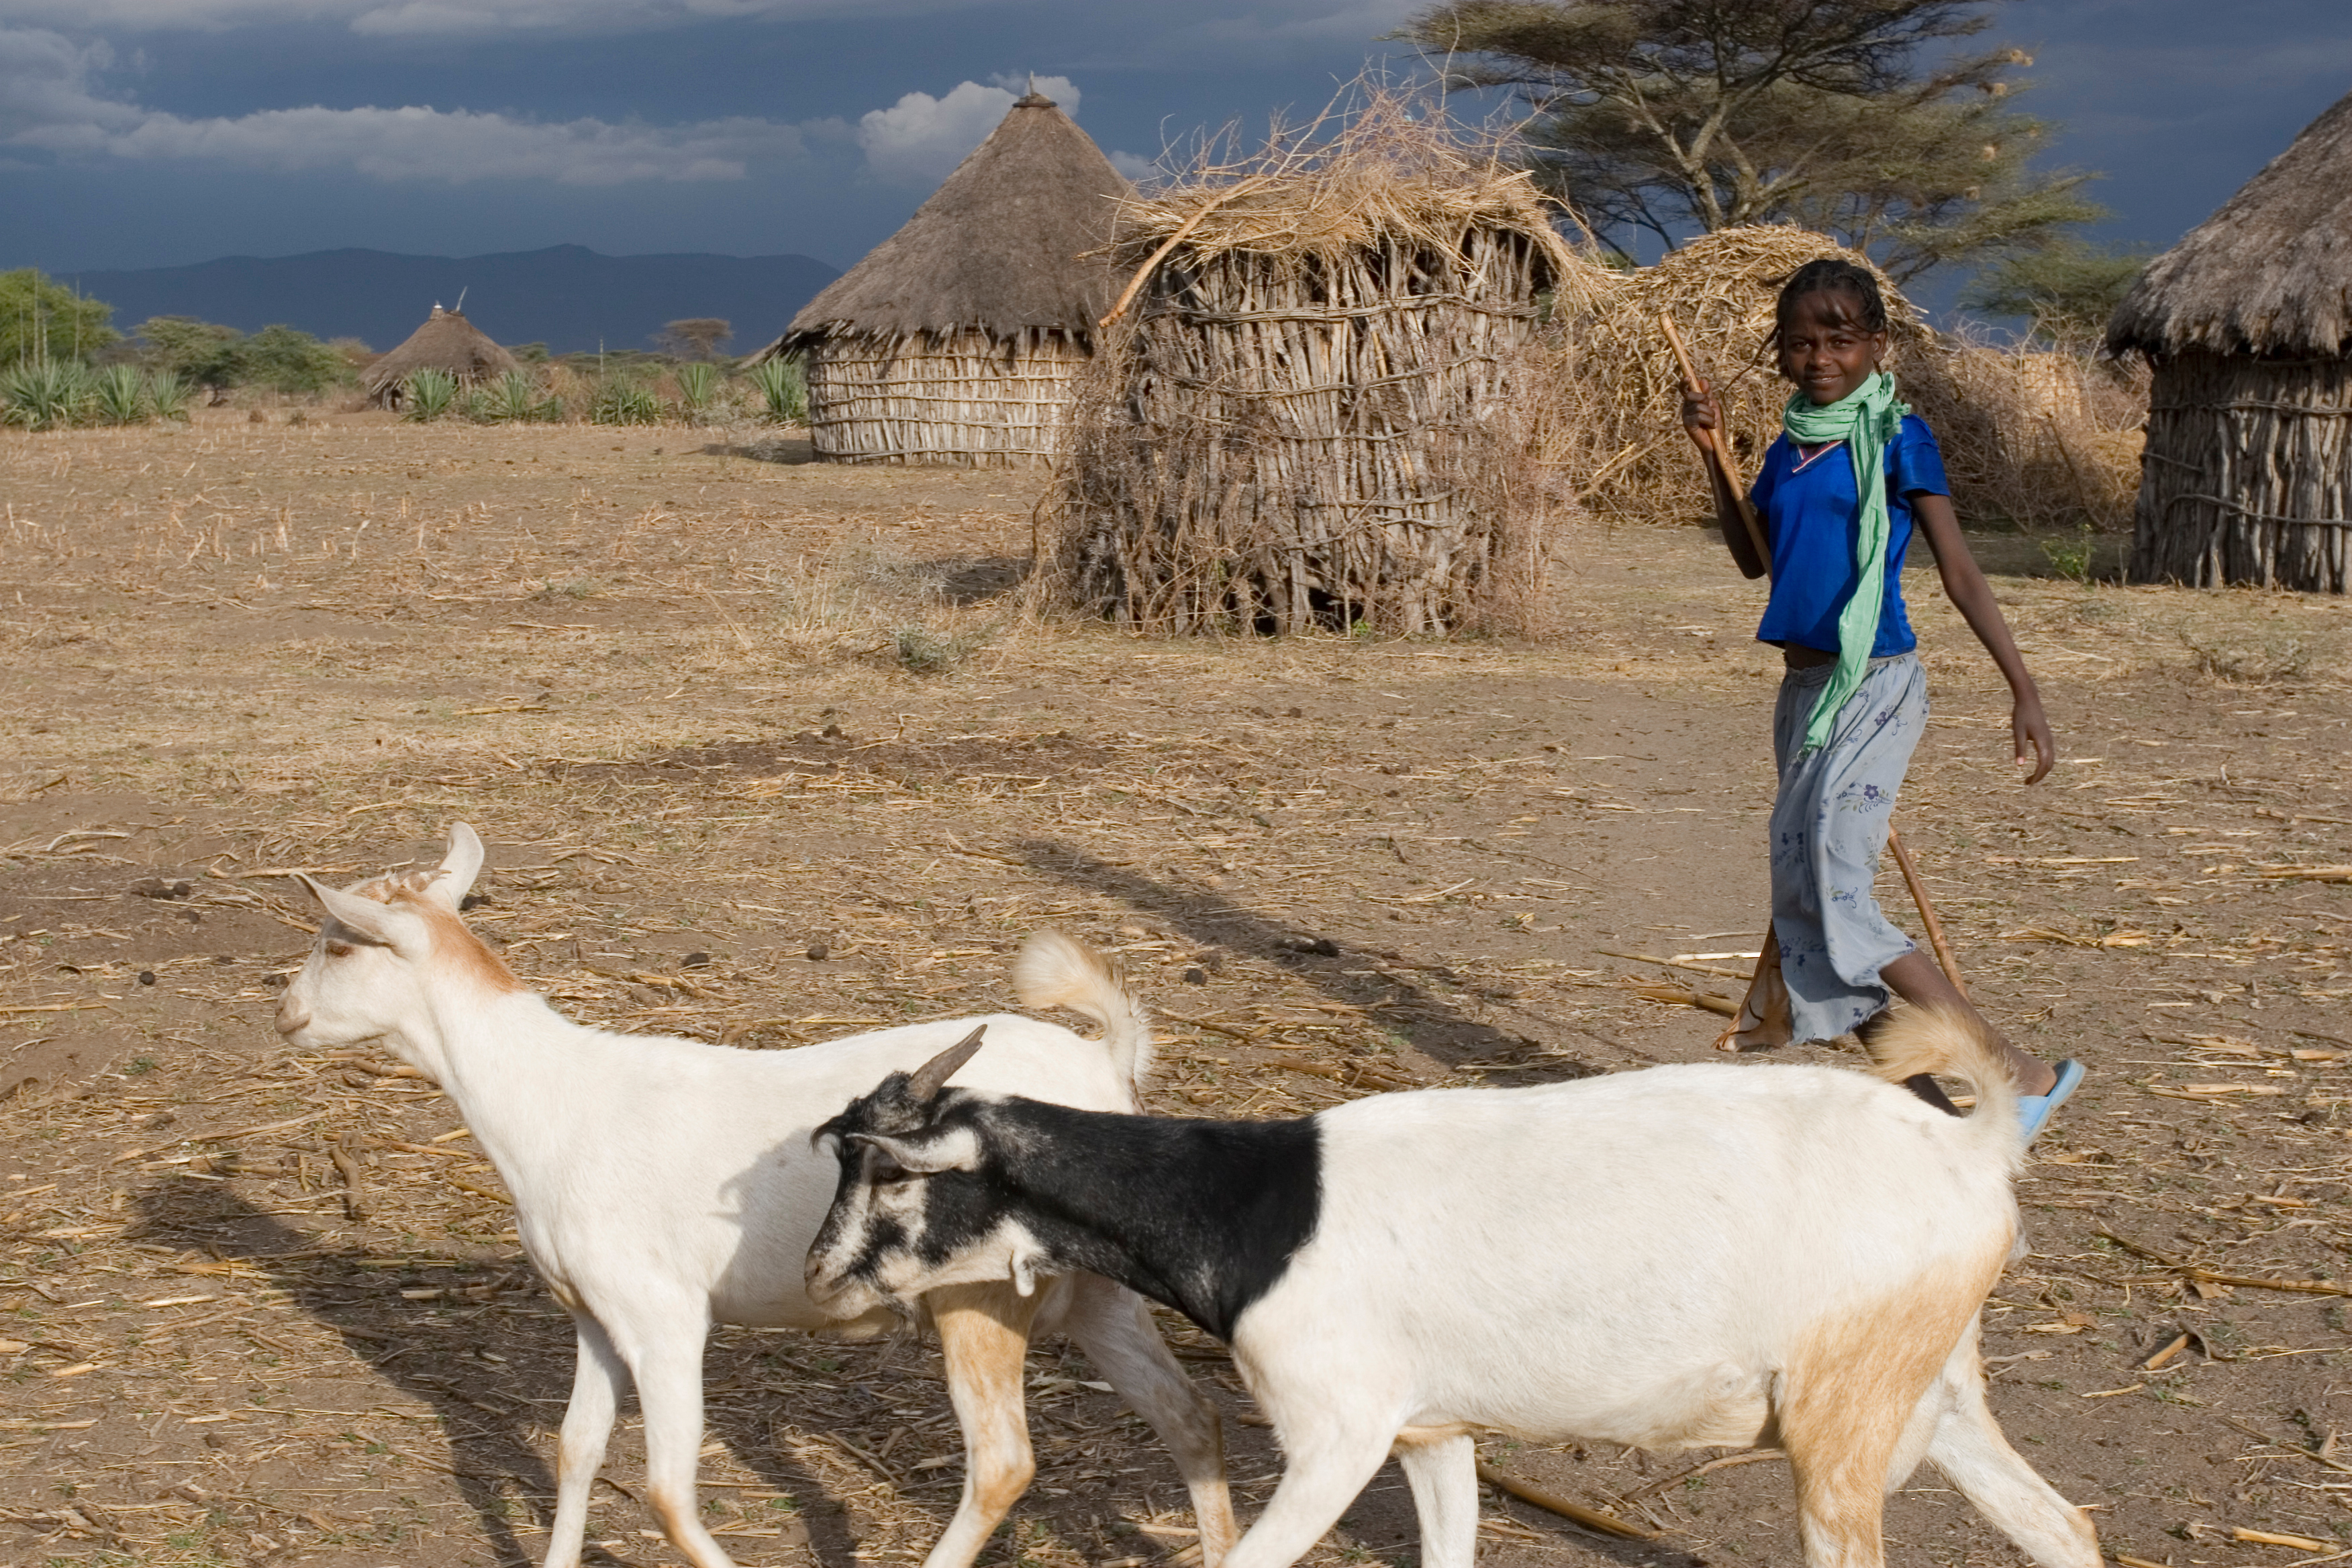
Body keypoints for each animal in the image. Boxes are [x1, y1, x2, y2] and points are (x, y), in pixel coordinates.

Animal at [276, 823, 1233, 1568]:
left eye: (338, 942)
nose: (284, 1011)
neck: (550, 1099)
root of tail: (1105, 1066)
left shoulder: (663, 1312)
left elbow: (666, 1494)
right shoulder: (594, 1311)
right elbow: (576, 1449)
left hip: (980, 1286)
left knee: (1004, 1462)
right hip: (1097, 1287)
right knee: (1190, 1416)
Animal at [806, 1009, 2101, 1568]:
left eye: (888, 1175)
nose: (816, 1274)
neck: (1254, 1206)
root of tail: (1971, 1149)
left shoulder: (1335, 1432)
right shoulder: (1429, 1431)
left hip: (1840, 1422)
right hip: (1932, 1389)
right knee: (2064, 1527)